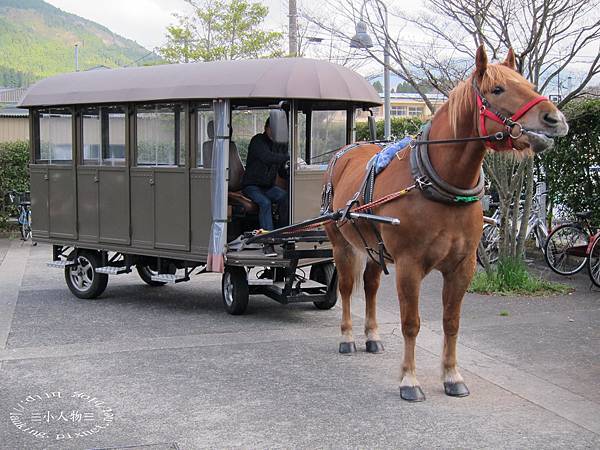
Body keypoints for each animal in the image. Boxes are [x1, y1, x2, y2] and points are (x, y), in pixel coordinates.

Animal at [324, 47, 568, 402]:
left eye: (529, 84)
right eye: (498, 89)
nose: (555, 119)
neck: (436, 182)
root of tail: (345, 152)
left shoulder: (462, 266)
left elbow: (451, 322)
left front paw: (452, 375)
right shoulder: (409, 265)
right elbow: (411, 323)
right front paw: (409, 379)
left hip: (372, 247)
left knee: (370, 287)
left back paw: (372, 336)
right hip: (340, 243)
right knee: (344, 288)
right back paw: (347, 337)